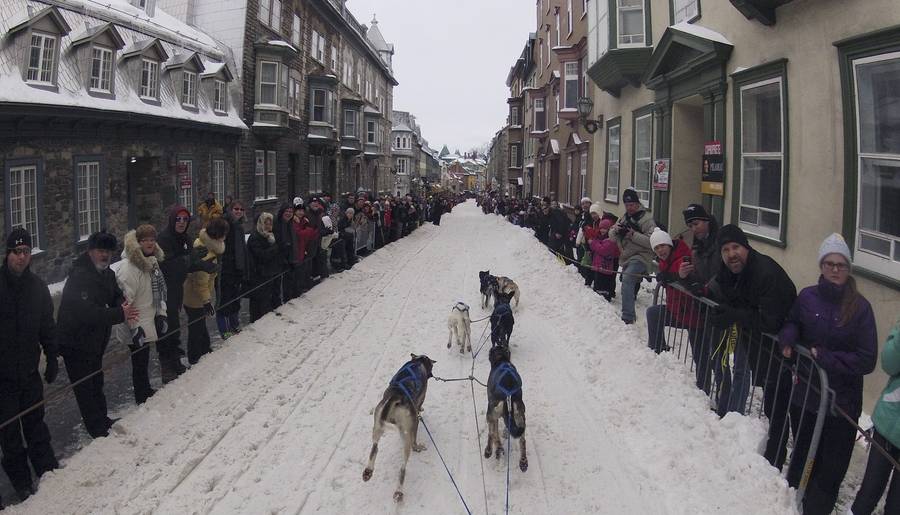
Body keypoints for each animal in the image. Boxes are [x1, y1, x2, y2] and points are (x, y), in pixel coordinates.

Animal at [364, 354, 438, 504]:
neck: (418, 361)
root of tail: (396, 396)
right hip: (407, 435)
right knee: (403, 466)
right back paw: (399, 491)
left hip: (377, 427)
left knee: (374, 448)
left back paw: (368, 471)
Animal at [486, 344, 528, 474]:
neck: (502, 359)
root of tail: (508, 394)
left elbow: (492, 433)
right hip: (520, 416)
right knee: (522, 439)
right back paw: (523, 462)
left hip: (491, 413)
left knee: (493, 434)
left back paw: (492, 450)